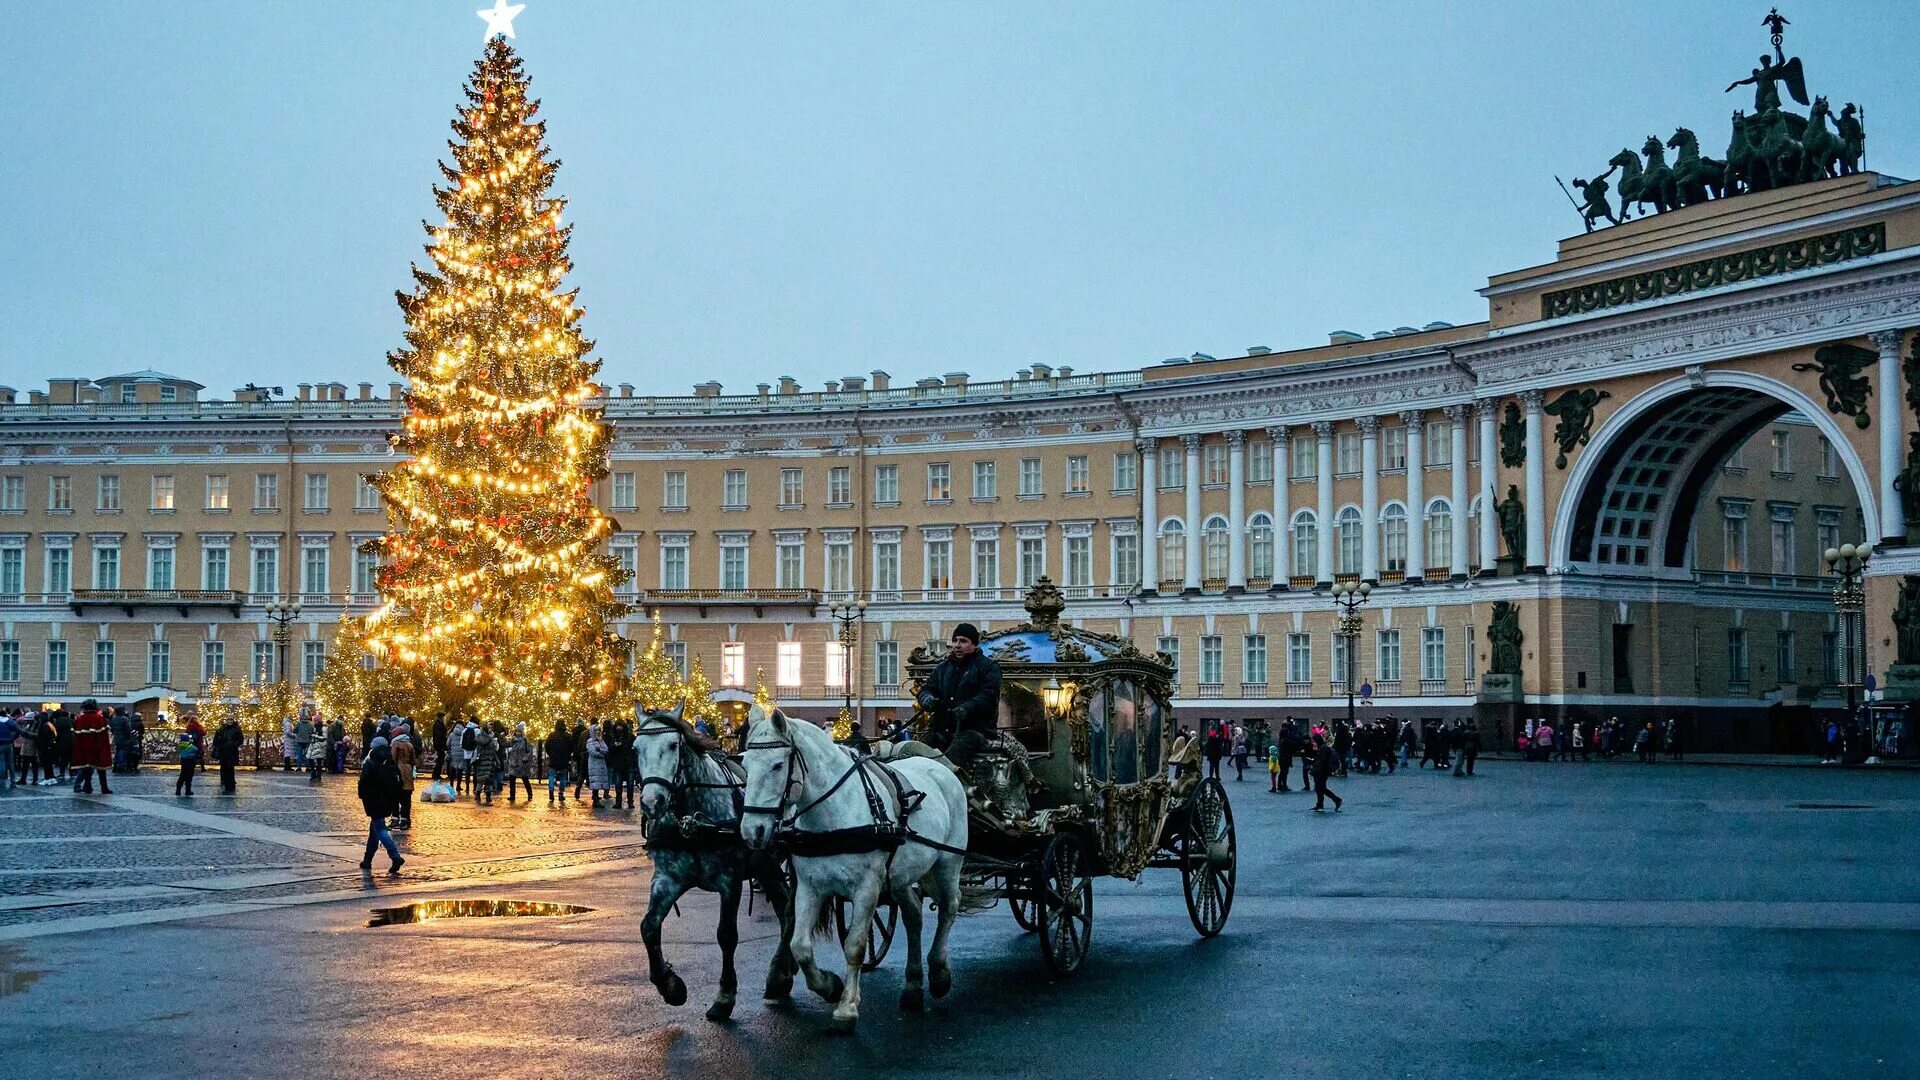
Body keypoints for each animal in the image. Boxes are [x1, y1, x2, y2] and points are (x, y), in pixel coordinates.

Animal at [737, 703, 967, 1030]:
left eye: (778, 766)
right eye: (745, 763)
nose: (751, 831)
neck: (832, 813)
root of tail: (942, 768)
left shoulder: (867, 889)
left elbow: (855, 945)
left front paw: (846, 1008)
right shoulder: (809, 887)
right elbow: (800, 946)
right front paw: (829, 986)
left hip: (948, 863)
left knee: (949, 907)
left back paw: (938, 974)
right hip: (899, 877)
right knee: (913, 915)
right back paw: (912, 986)